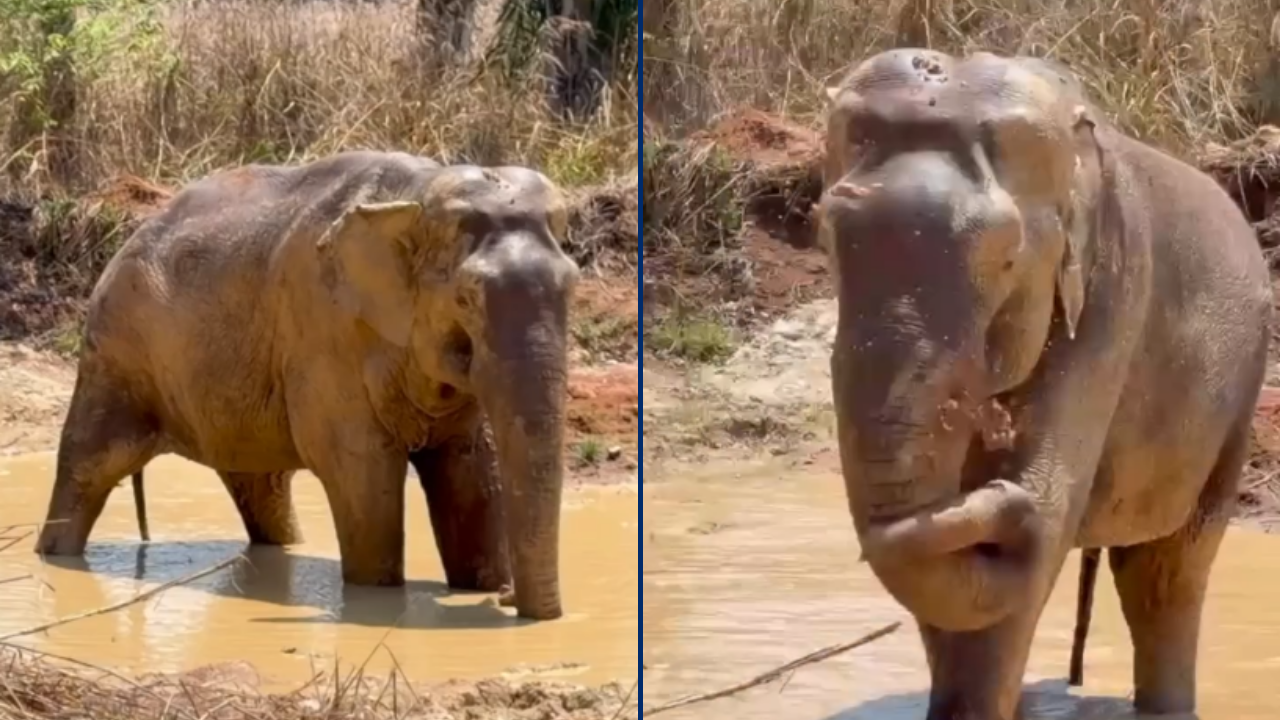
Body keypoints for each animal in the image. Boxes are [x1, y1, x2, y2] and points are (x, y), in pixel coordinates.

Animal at [34, 150, 579, 621]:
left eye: (572, 286)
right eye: (466, 298)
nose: (507, 598)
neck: (416, 192)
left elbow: (471, 466)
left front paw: (476, 585)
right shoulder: (321, 331)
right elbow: (360, 466)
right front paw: (377, 598)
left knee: (261, 488)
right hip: (115, 354)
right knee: (90, 464)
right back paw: (55, 557)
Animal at [817, 50, 1271, 718]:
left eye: (1007, 260)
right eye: (827, 238)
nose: (998, 493)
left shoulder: (1114, 290)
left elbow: (1046, 512)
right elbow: (950, 573)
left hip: (1243, 386)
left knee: (1171, 567)